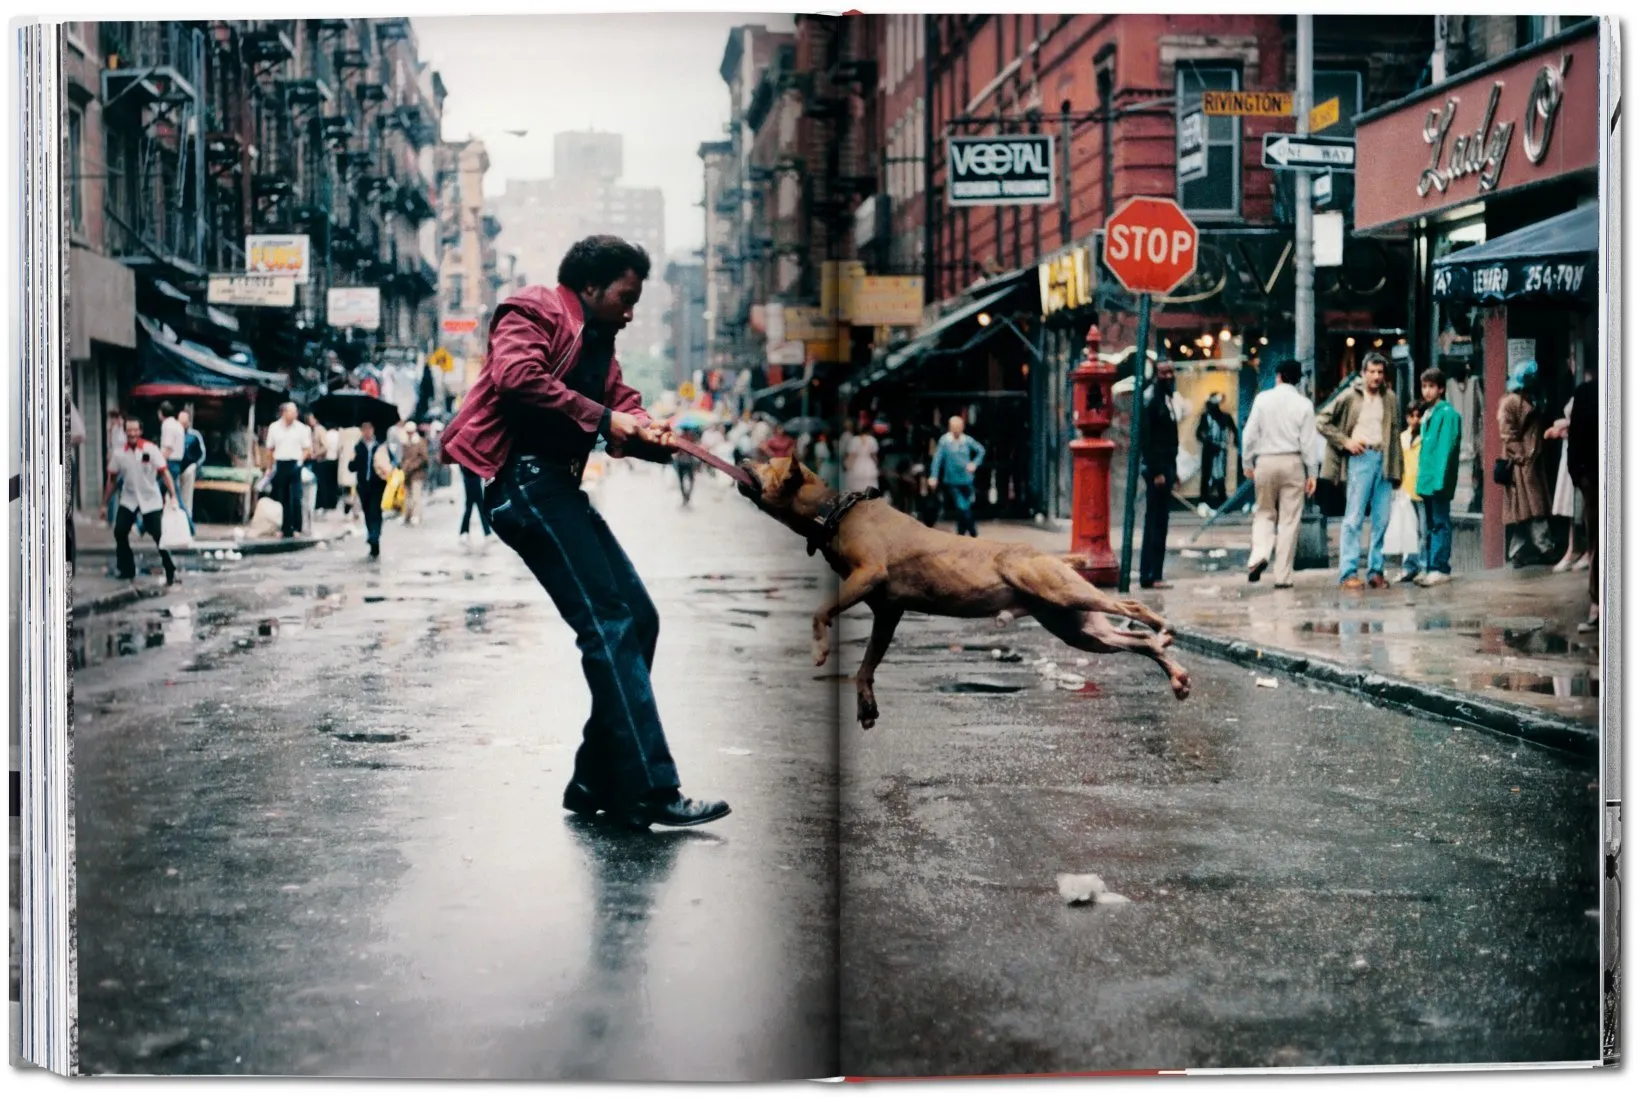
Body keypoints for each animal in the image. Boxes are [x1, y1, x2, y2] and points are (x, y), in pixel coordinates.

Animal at [744, 459, 1193, 731]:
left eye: (768, 462)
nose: (744, 460)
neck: (832, 511)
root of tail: (1054, 556)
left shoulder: (868, 576)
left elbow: (820, 612)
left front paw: (820, 650)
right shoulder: (887, 613)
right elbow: (865, 666)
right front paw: (866, 706)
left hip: (1061, 592)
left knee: (1131, 606)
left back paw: (1163, 625)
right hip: (1077, 628)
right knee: (1136, 640)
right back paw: (1175, 674)